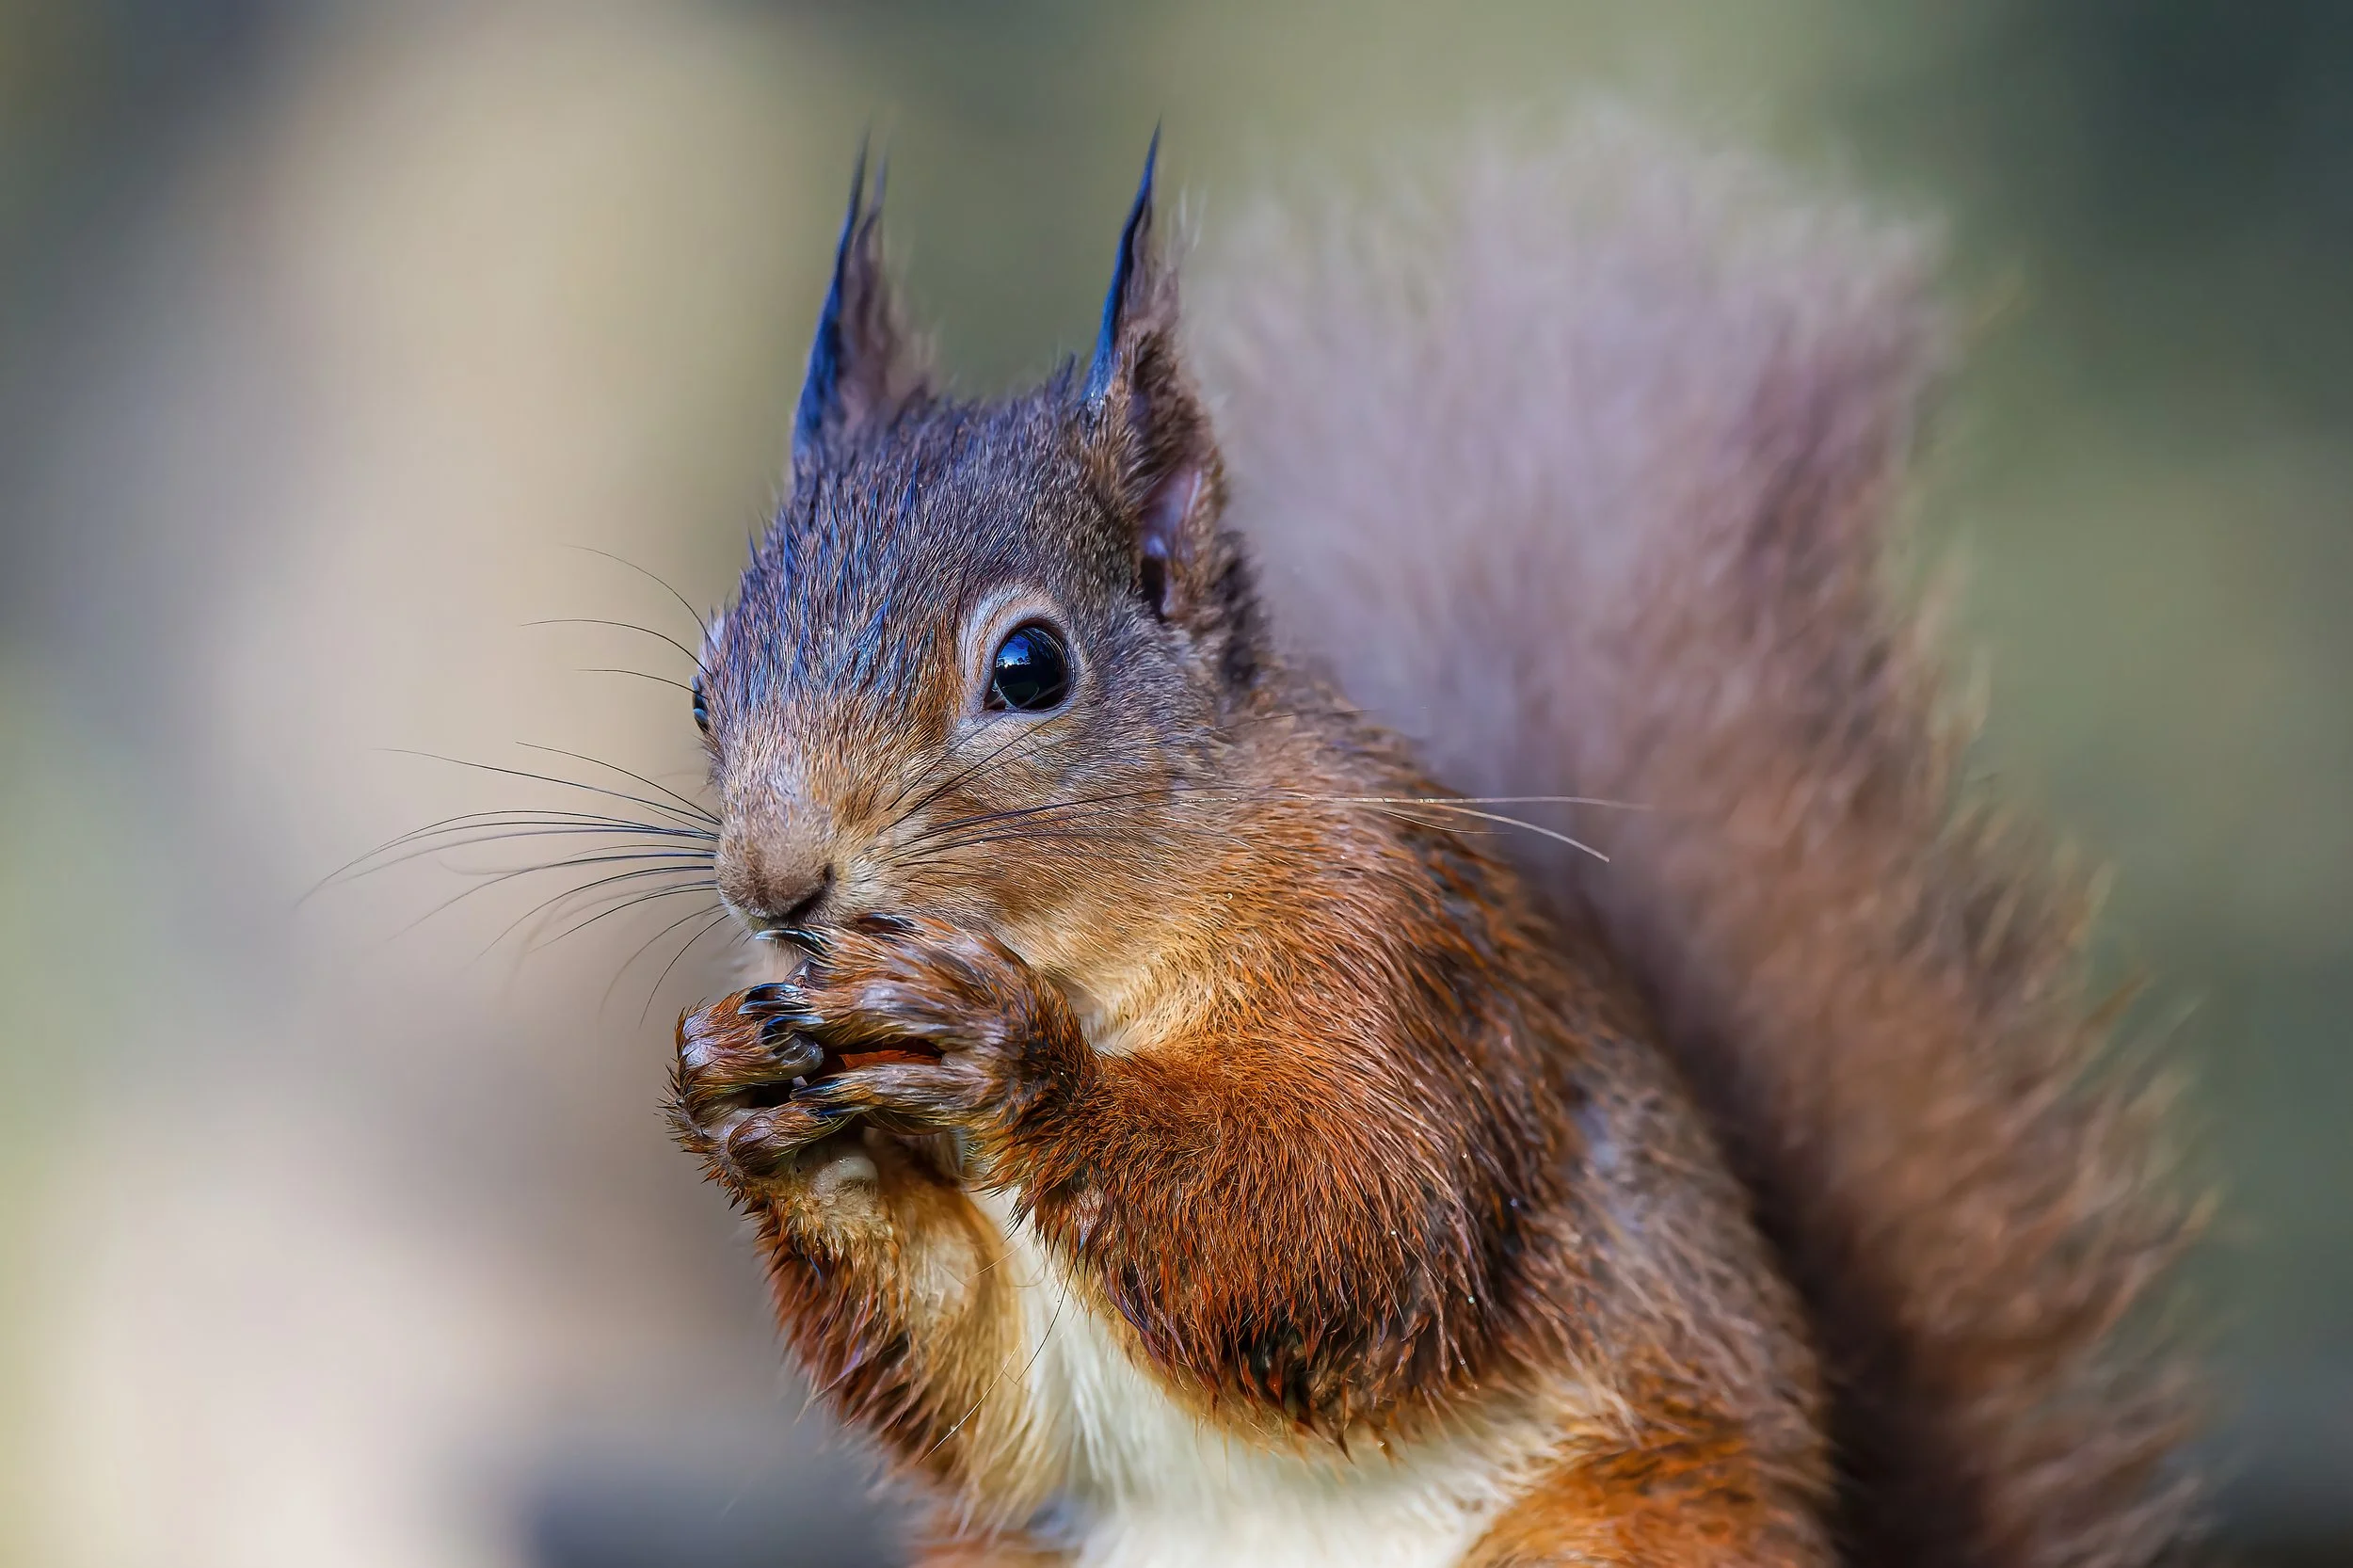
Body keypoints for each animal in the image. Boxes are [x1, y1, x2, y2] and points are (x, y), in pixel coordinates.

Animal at [664, 123, 2198, 1568]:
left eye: (1031, 667)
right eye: (701, 688)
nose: (774, 881)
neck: (1105, 947)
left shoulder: (1396, 950)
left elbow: (1358, 1218)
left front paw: (1013, 1055)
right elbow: (980, 1382)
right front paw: (744, 1102)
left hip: (1630, 1524)